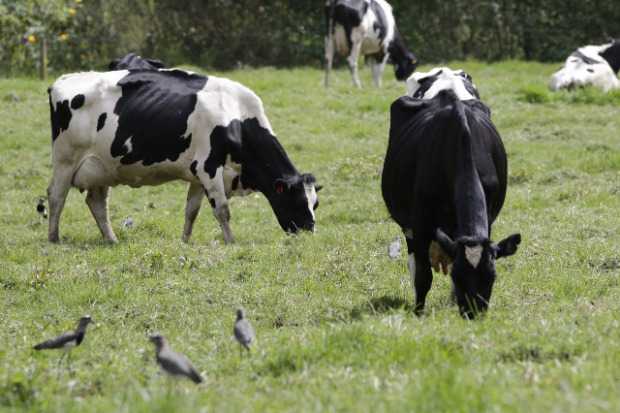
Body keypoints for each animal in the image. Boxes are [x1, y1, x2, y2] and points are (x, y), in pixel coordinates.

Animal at [380, 68, 520, 318]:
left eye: (492, 277)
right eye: (459, 276)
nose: (474, 315)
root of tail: (444, 72)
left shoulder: (489, 218)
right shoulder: (421, 222)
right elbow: (423, 275)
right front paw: (418, 313)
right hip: (409, 226)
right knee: (414, 261)